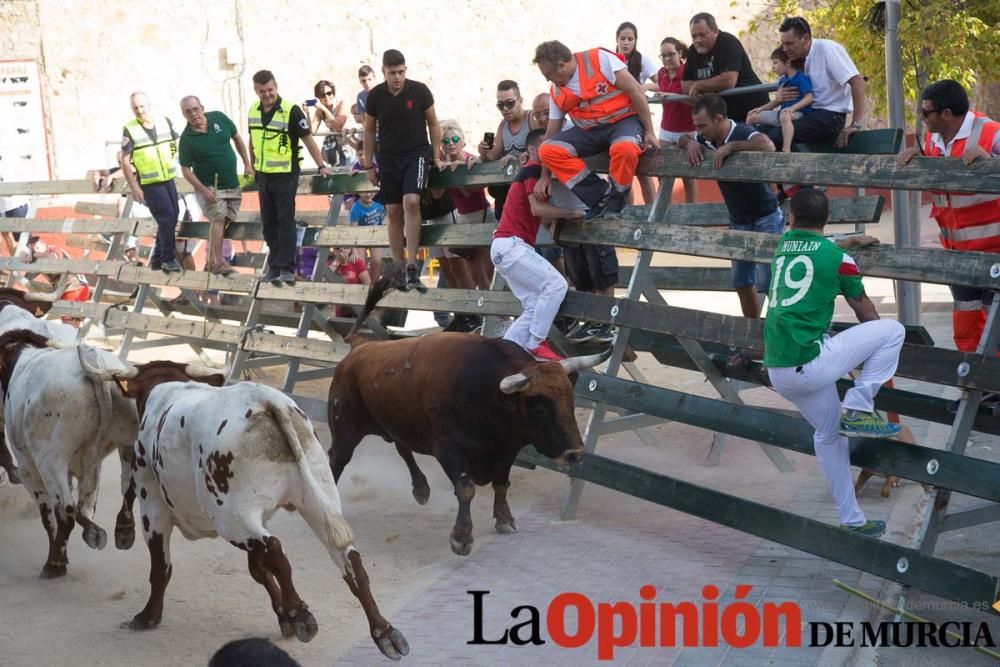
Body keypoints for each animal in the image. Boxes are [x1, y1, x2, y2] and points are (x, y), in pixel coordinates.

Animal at [0, 332, 139, 576]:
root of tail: (96, 365)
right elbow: (87, 503)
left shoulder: (29, 470)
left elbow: (49, 517)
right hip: (127, 443)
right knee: (127, 488)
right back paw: (123, 530)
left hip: (51, 461)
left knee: (65, 510)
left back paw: (53, 564)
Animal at [77, 352, 406, 660]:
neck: (169, 391)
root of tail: (268, 400)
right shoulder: (260, 518)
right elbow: (258, 569)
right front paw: (283, 617)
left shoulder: (153, 506)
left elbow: (161, 567)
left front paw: (148, 616)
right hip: (315, 501)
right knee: (348, 559)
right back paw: (384, 632)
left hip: (230, 517)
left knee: (276, 548)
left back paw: (301, 614)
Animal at [332, 268, 604, 556]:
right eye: (539, 407)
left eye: (570, 401)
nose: (575, 453)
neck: (490, 397)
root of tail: (359, 346)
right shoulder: (449, 449)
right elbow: (466, 489)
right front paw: (462, 537)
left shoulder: (506, 451)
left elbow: (502, 484)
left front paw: (504, 519)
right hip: (344, 428)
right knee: (337, 459)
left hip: (395, 421)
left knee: (402, 447)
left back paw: (421, 489)